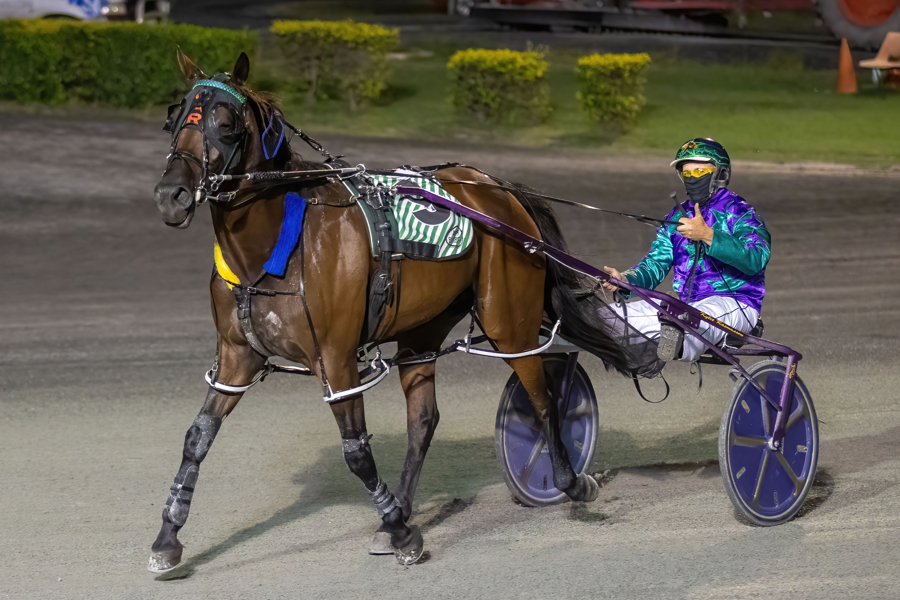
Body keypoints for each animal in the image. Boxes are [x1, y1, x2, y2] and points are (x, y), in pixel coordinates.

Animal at [149, 50, 630, 572]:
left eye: (226, 123)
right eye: (174, 119)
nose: (171, 196)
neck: (278, 245)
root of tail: (498, 189)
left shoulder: (336, 360)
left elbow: (356, 452)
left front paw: (401, 533)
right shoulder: (237, 357)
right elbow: (197, 437)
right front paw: (167, 538)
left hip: (509, 320)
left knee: (542, 395)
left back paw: (570, 481)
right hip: (423, 330)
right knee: (423, 420)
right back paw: (404, 501)